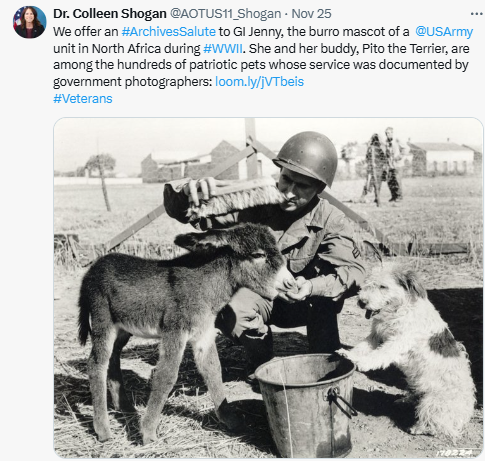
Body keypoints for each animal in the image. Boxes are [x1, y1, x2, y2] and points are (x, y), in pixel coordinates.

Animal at [77, 223, 294, 442]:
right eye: (258, 255)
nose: (291, 283)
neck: (204, 285)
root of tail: (92, 269)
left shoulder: (204, 333)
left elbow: (213, 370)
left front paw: (230, 420)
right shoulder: (174, 332)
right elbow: (166, 376)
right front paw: (148, 432)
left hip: (122, 329)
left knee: (113, 358)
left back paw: (125, 408)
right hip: (103, 320)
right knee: (96, 364)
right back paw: (103, 430)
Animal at [336, 262, 472, 438]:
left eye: (383, 286)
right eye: (369, 283)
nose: (362, 302)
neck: (399, 309)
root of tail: (463, 417)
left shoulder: (397, 342)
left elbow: (378, 355)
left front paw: (359, 361)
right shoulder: (376, 336)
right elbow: (361, 347)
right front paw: (348, 354)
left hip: (433, 402)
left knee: (437, 424)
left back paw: (419, 428)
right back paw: (406, 400)